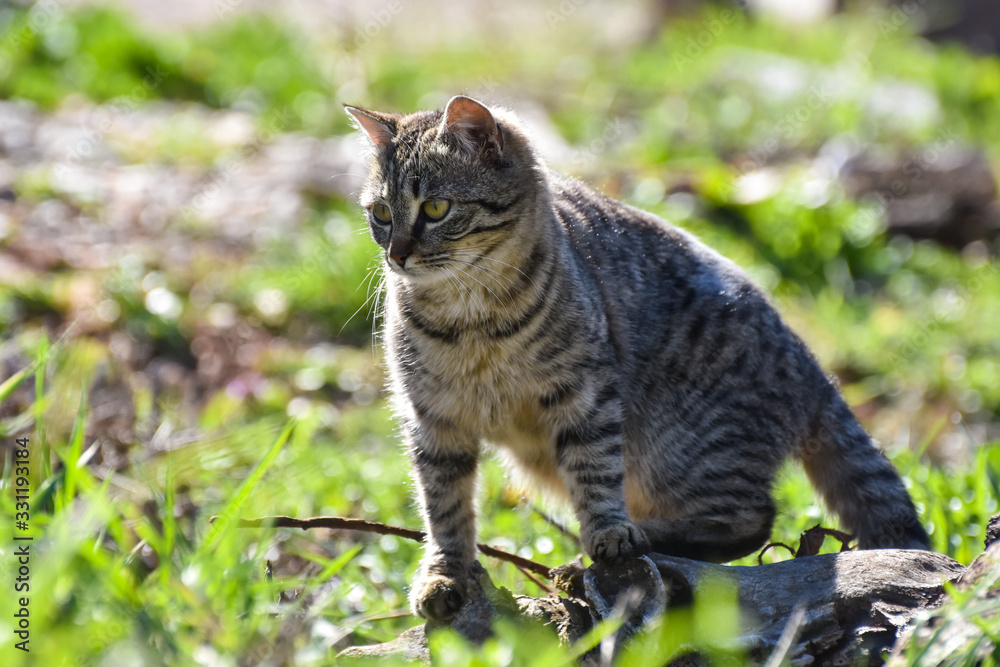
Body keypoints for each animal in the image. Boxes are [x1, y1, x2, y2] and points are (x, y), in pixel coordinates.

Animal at [344, 96, 928, 624]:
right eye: (381, 214)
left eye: (436, 208)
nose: (396, 255)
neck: (469, 320)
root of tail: (808, 362)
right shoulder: (433, 419)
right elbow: (444, 507)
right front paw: (444, 574)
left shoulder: (587, 394)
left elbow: (595, 470)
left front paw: (606, 532)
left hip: (681, 450)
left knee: (751, 518)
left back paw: (634, 540)